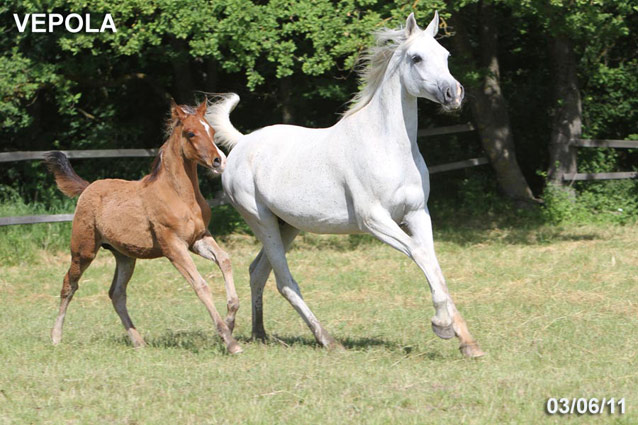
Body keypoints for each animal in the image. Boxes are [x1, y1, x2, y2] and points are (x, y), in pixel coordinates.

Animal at [43, 100, 242, 354]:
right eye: (190, 133)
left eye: (212, 130)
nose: (219, 161)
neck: (179, 195)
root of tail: (88, 187)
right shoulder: (173, 246)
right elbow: (200, 285)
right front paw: (229, 340)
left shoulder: (198, 239)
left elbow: (225, 260)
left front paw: (231, 318)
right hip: (83, 250)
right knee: (69, 284)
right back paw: (56, 336)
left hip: (125, 256)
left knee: (116, 293)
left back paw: (138, 341)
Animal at [209, 11, 484, 356]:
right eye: (416, 57)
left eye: (445, 55)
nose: (453, 94)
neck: (387, 146)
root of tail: (242, 143)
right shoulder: (374, 220)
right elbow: (420, 255)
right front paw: (442, 326)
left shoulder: (418, 213)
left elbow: (434, 264)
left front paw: (467, 341)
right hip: (261, 221)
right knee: (284, 282)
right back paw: (326, 339)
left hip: (287, 225)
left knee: (258, 272)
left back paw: (259, 334)